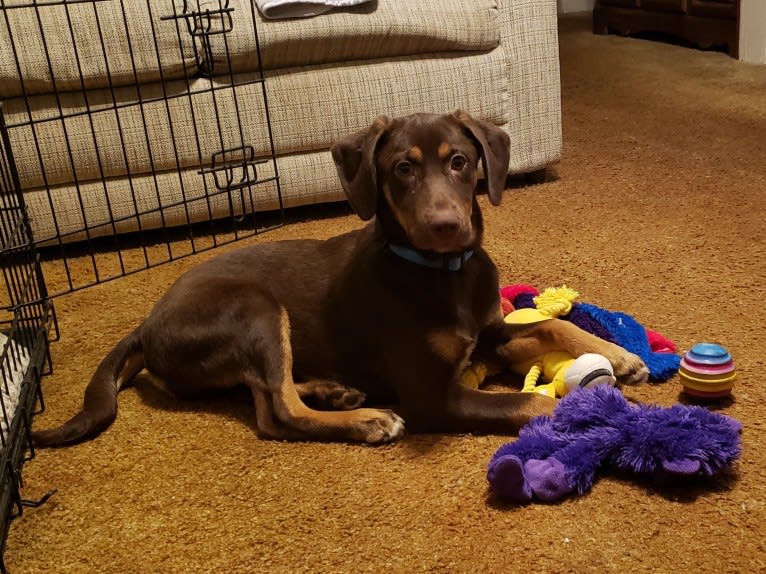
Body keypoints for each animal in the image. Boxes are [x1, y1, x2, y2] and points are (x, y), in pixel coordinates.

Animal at [34, 110, 648, 448]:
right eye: (402, 168)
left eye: (460, 161)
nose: (446, 226)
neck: (442, 272)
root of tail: (146, 322)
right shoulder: (430, 395)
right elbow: (533, 406)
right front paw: (606, 417)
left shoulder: (488, 331)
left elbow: (552, 327)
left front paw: (618, 358)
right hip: (254, 308)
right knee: (276, 412)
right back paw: (366, 419)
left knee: (267, 390)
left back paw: (335, 390)